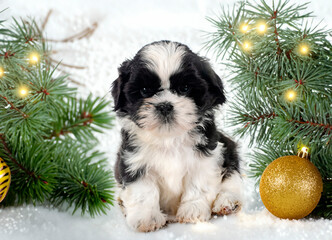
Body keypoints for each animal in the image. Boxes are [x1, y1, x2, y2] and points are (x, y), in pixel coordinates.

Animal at [111, 40, 241, 232]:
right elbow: (143, 191)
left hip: (229, 150)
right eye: (144, 90)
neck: (169, 138)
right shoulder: (133, 160)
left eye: (184, 88)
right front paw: (147, 217)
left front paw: (193, 210)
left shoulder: (205, 156)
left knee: (232, 178)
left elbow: (198, 184)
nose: (165, 105)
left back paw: (228, 201)